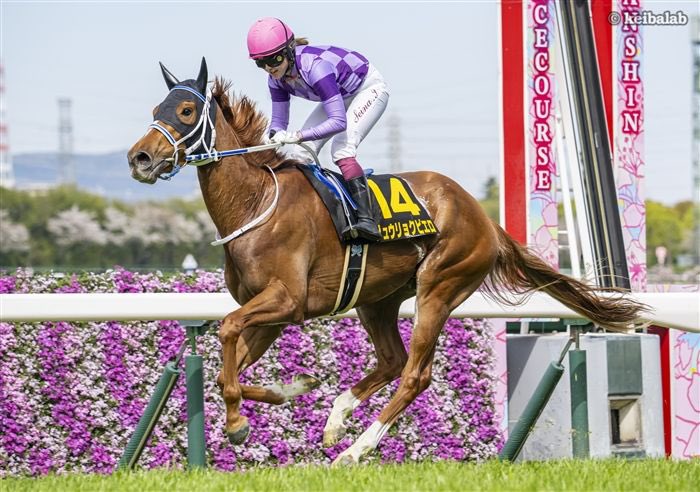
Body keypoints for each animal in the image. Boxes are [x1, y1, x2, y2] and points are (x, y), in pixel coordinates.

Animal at [127, 58, 645, 465]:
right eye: (154, 111)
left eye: (186, 111)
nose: (140, 158)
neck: (256, 203)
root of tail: (482, 217)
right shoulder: (272, 311)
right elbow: (225, 368)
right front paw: (295, 388)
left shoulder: (287, 301)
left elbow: (228, 332)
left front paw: (239, 422)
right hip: (376, 299)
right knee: (393, 360)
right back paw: (337, 418)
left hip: (440, 286)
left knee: (415, 373)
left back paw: (355, 449)